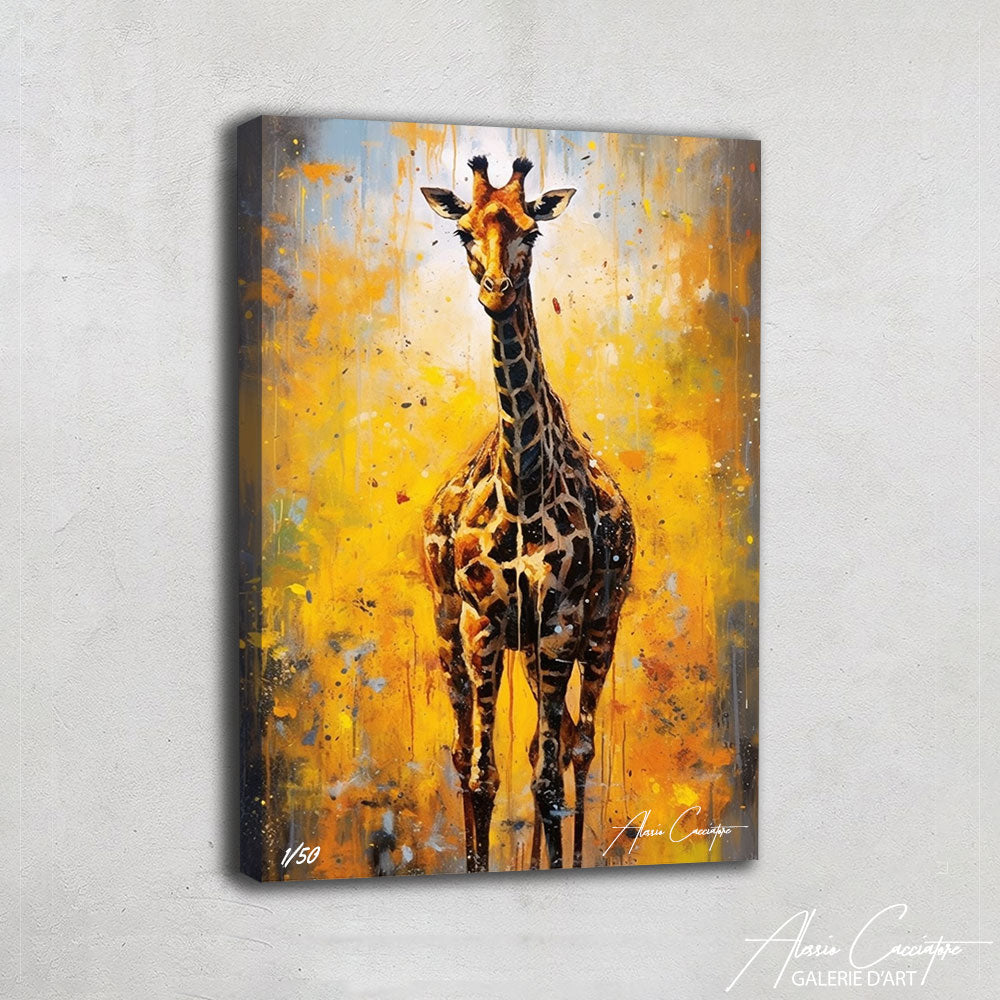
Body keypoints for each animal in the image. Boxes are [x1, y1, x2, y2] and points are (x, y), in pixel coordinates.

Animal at [420, 156, 635, 872]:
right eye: (464, 232)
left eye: (531, 232)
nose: (496, 290)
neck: (524, 483)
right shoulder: (480, 621)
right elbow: (482, 774)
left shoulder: (559, 620)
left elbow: (545, 773)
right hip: (448, 629)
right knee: (481, 749)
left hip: (599, 624)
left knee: (575, 745)